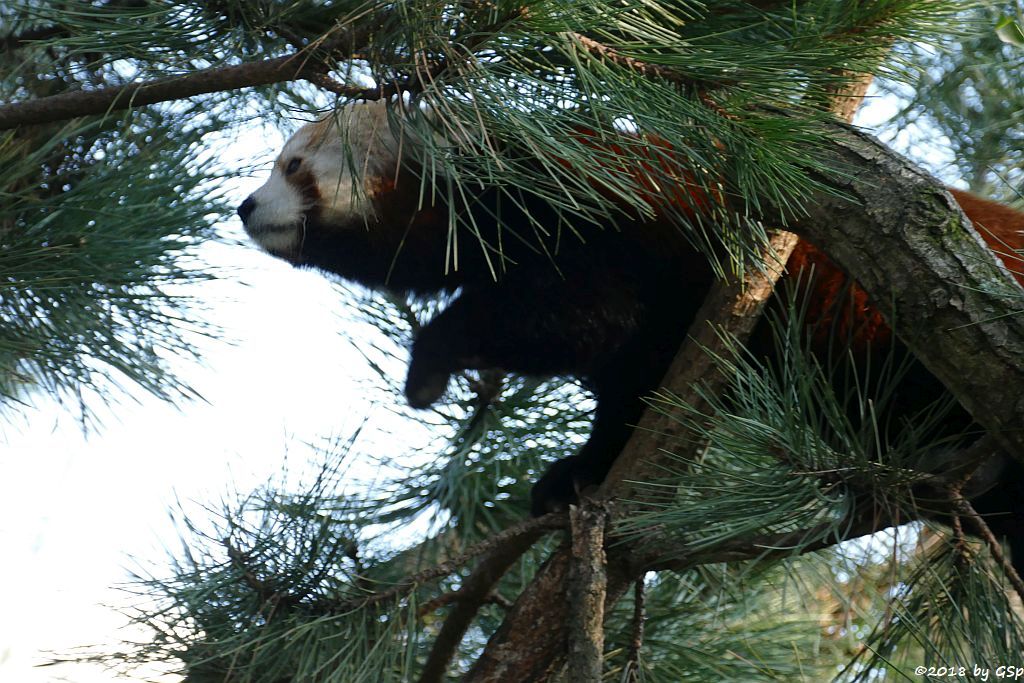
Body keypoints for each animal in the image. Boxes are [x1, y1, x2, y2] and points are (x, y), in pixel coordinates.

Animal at [239, 102, 1024, 565]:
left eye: (293, 166)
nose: (244, 206)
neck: (504, 195)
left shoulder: (613, 228)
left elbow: (575, 320)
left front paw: (429, 361)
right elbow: (627, 392)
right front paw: (578, 473)